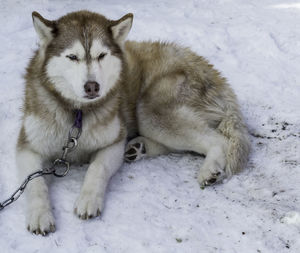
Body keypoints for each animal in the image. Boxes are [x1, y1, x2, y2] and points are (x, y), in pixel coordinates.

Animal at [16, 10, 251, 235]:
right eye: (72, 57)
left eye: (101, 55)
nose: (92, 86)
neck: (78, 114)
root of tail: (209, 68)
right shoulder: (28, 146)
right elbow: (34, 182)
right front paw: (39, 215)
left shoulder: (113, 141)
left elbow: (97, 168)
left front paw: (88, 200)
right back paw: (138, 148)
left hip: (150, 110)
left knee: (218, 140)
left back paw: (209, 170)